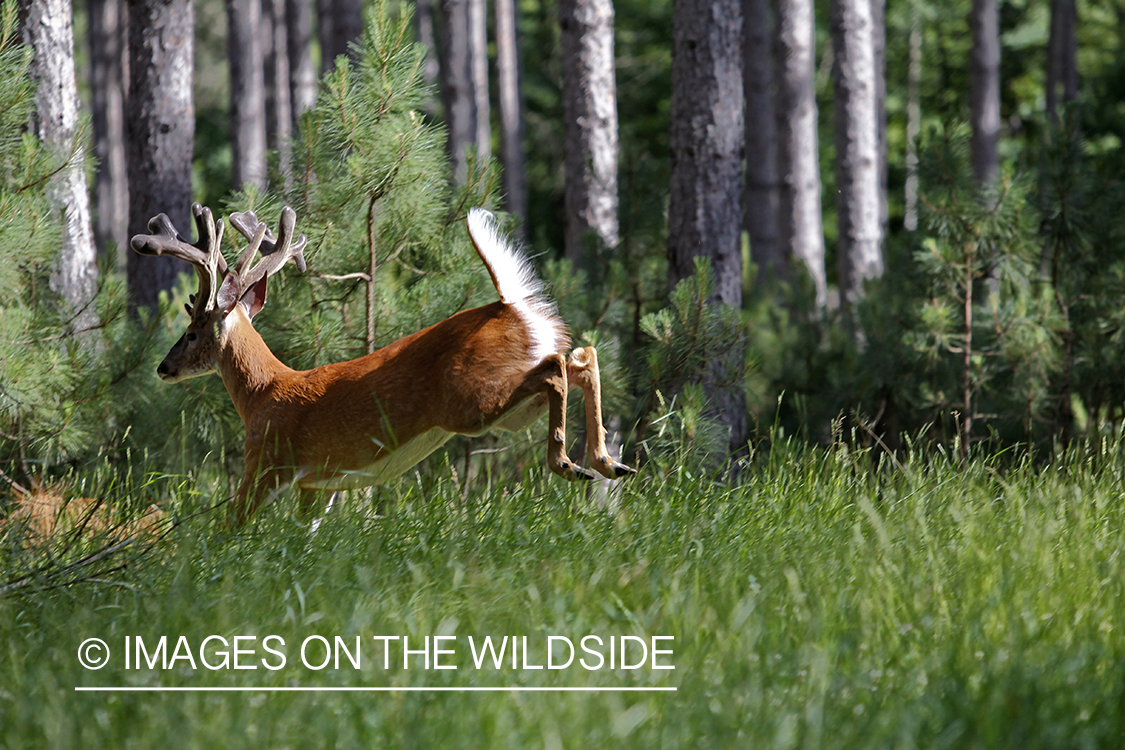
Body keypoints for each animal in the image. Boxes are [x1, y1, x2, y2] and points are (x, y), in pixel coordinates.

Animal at [131, 202, 634, 526]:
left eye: (191, 331)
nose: (163, 367)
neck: (263, 393)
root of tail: (510, 305)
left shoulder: (268, 459)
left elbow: (231, 527)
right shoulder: (319, 485)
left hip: (470, 402)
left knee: (555, 370)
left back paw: (568, 463)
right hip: (509, 408)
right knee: (581, 357)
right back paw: (609, 462)